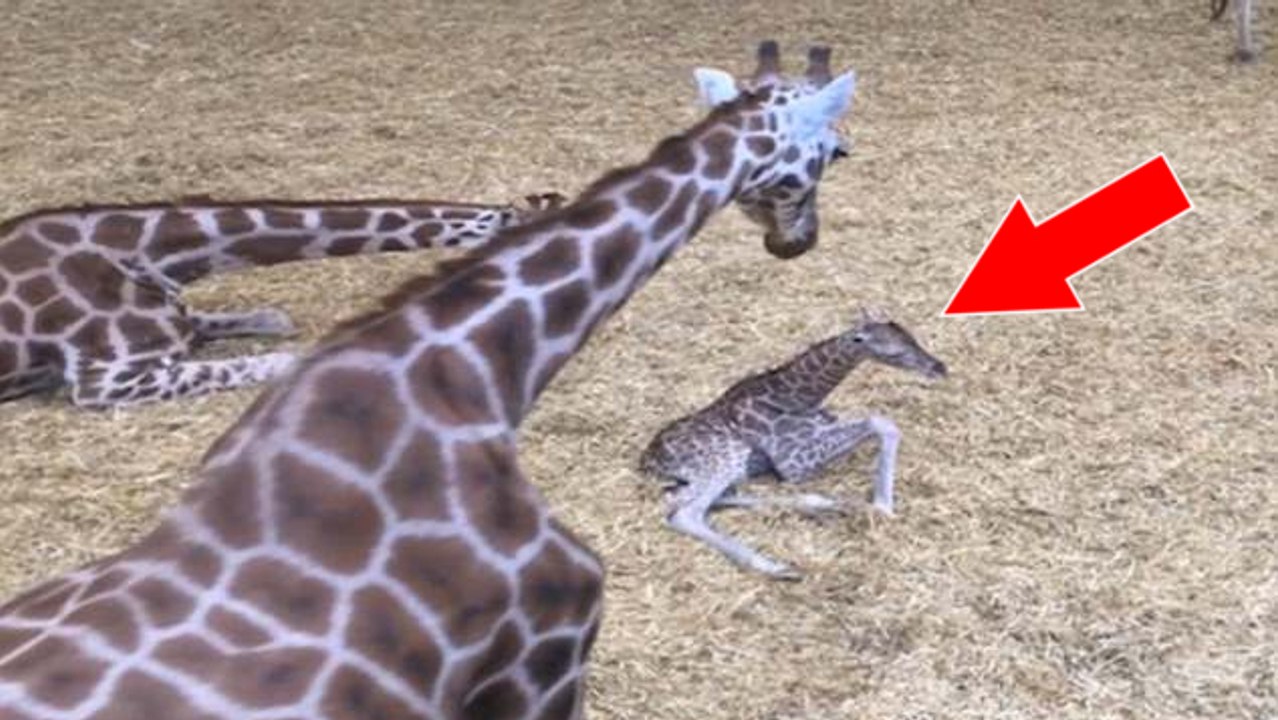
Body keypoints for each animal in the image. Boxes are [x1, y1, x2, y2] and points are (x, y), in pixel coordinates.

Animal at [640, 312, 946, 579]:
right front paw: (882, 507)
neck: (799, 398)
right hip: (725, 459)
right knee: (684, 512)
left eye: (911, 336)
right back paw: (777, 567)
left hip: (728, 470)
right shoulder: (793, 464)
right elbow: (881, 422)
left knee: (704, 498)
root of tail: (648, 462)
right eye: (894, 353)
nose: (939, 367)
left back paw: (828, 505)